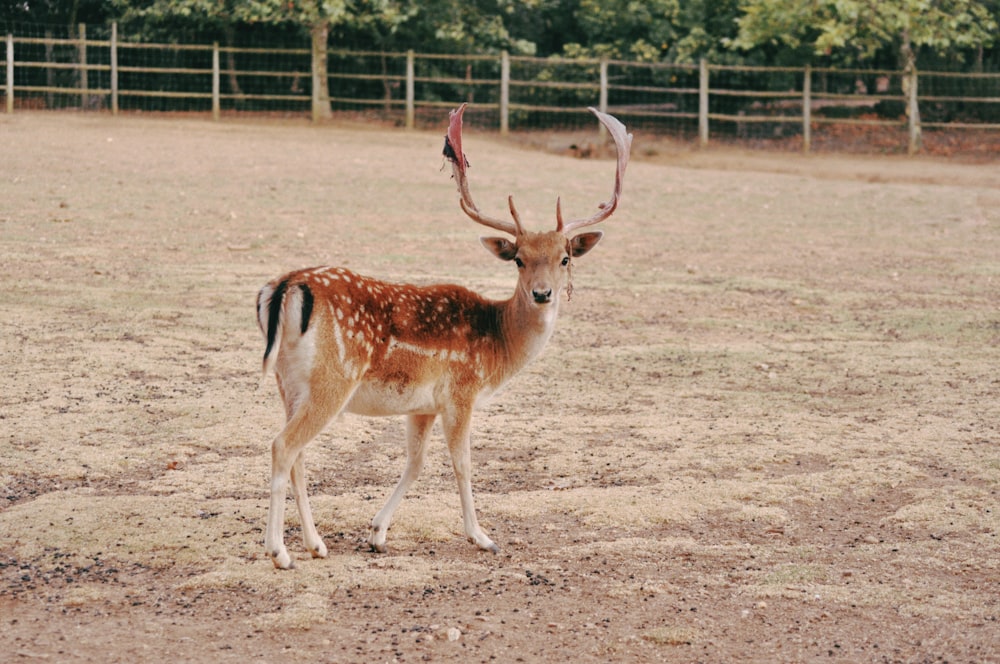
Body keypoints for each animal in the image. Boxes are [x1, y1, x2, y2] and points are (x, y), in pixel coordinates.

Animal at [258, 101, 632, 568]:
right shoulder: (461, 391)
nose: (542, 294)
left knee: (299, 454)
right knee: (282, 446)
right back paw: (279, 552)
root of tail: (286, 286)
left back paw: (315, 544)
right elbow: (463, 463)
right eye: (519, 259)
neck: (499, 345)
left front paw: (377, 533)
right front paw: (482, 537)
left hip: (287, 382)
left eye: (564, 258)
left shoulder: (423, 405)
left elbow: (415, 462)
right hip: (332, 379)